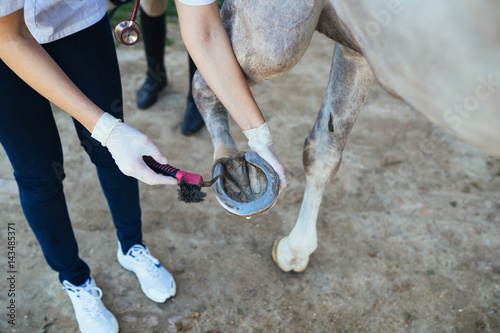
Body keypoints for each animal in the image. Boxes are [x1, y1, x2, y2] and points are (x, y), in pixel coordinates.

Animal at [190, 0, 500, 272]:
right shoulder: (358, 43)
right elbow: (323, 151)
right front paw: (297, 248)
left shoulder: (360, 43)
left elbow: (324, 151)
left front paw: (296, 249)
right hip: (274, 40)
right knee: (206, 74)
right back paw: (230, 163)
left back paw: (232, 164)